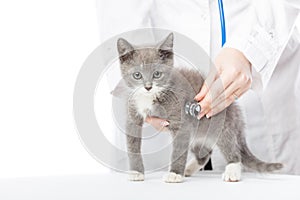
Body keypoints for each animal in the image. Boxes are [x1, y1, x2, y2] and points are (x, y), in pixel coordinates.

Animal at [113, 32, 282, 183]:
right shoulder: (132, 114)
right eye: (137, 75)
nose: (148, 87)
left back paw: (232, 171)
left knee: (232, 148)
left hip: (222, 124)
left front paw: (175, 174)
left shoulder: (181, 123)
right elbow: (132, 145)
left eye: (157, 74)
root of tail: (235, 110)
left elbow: (178, 149)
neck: (150, 97)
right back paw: (189, 169)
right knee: (204, 153)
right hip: (197, 133)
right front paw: (136, 172)